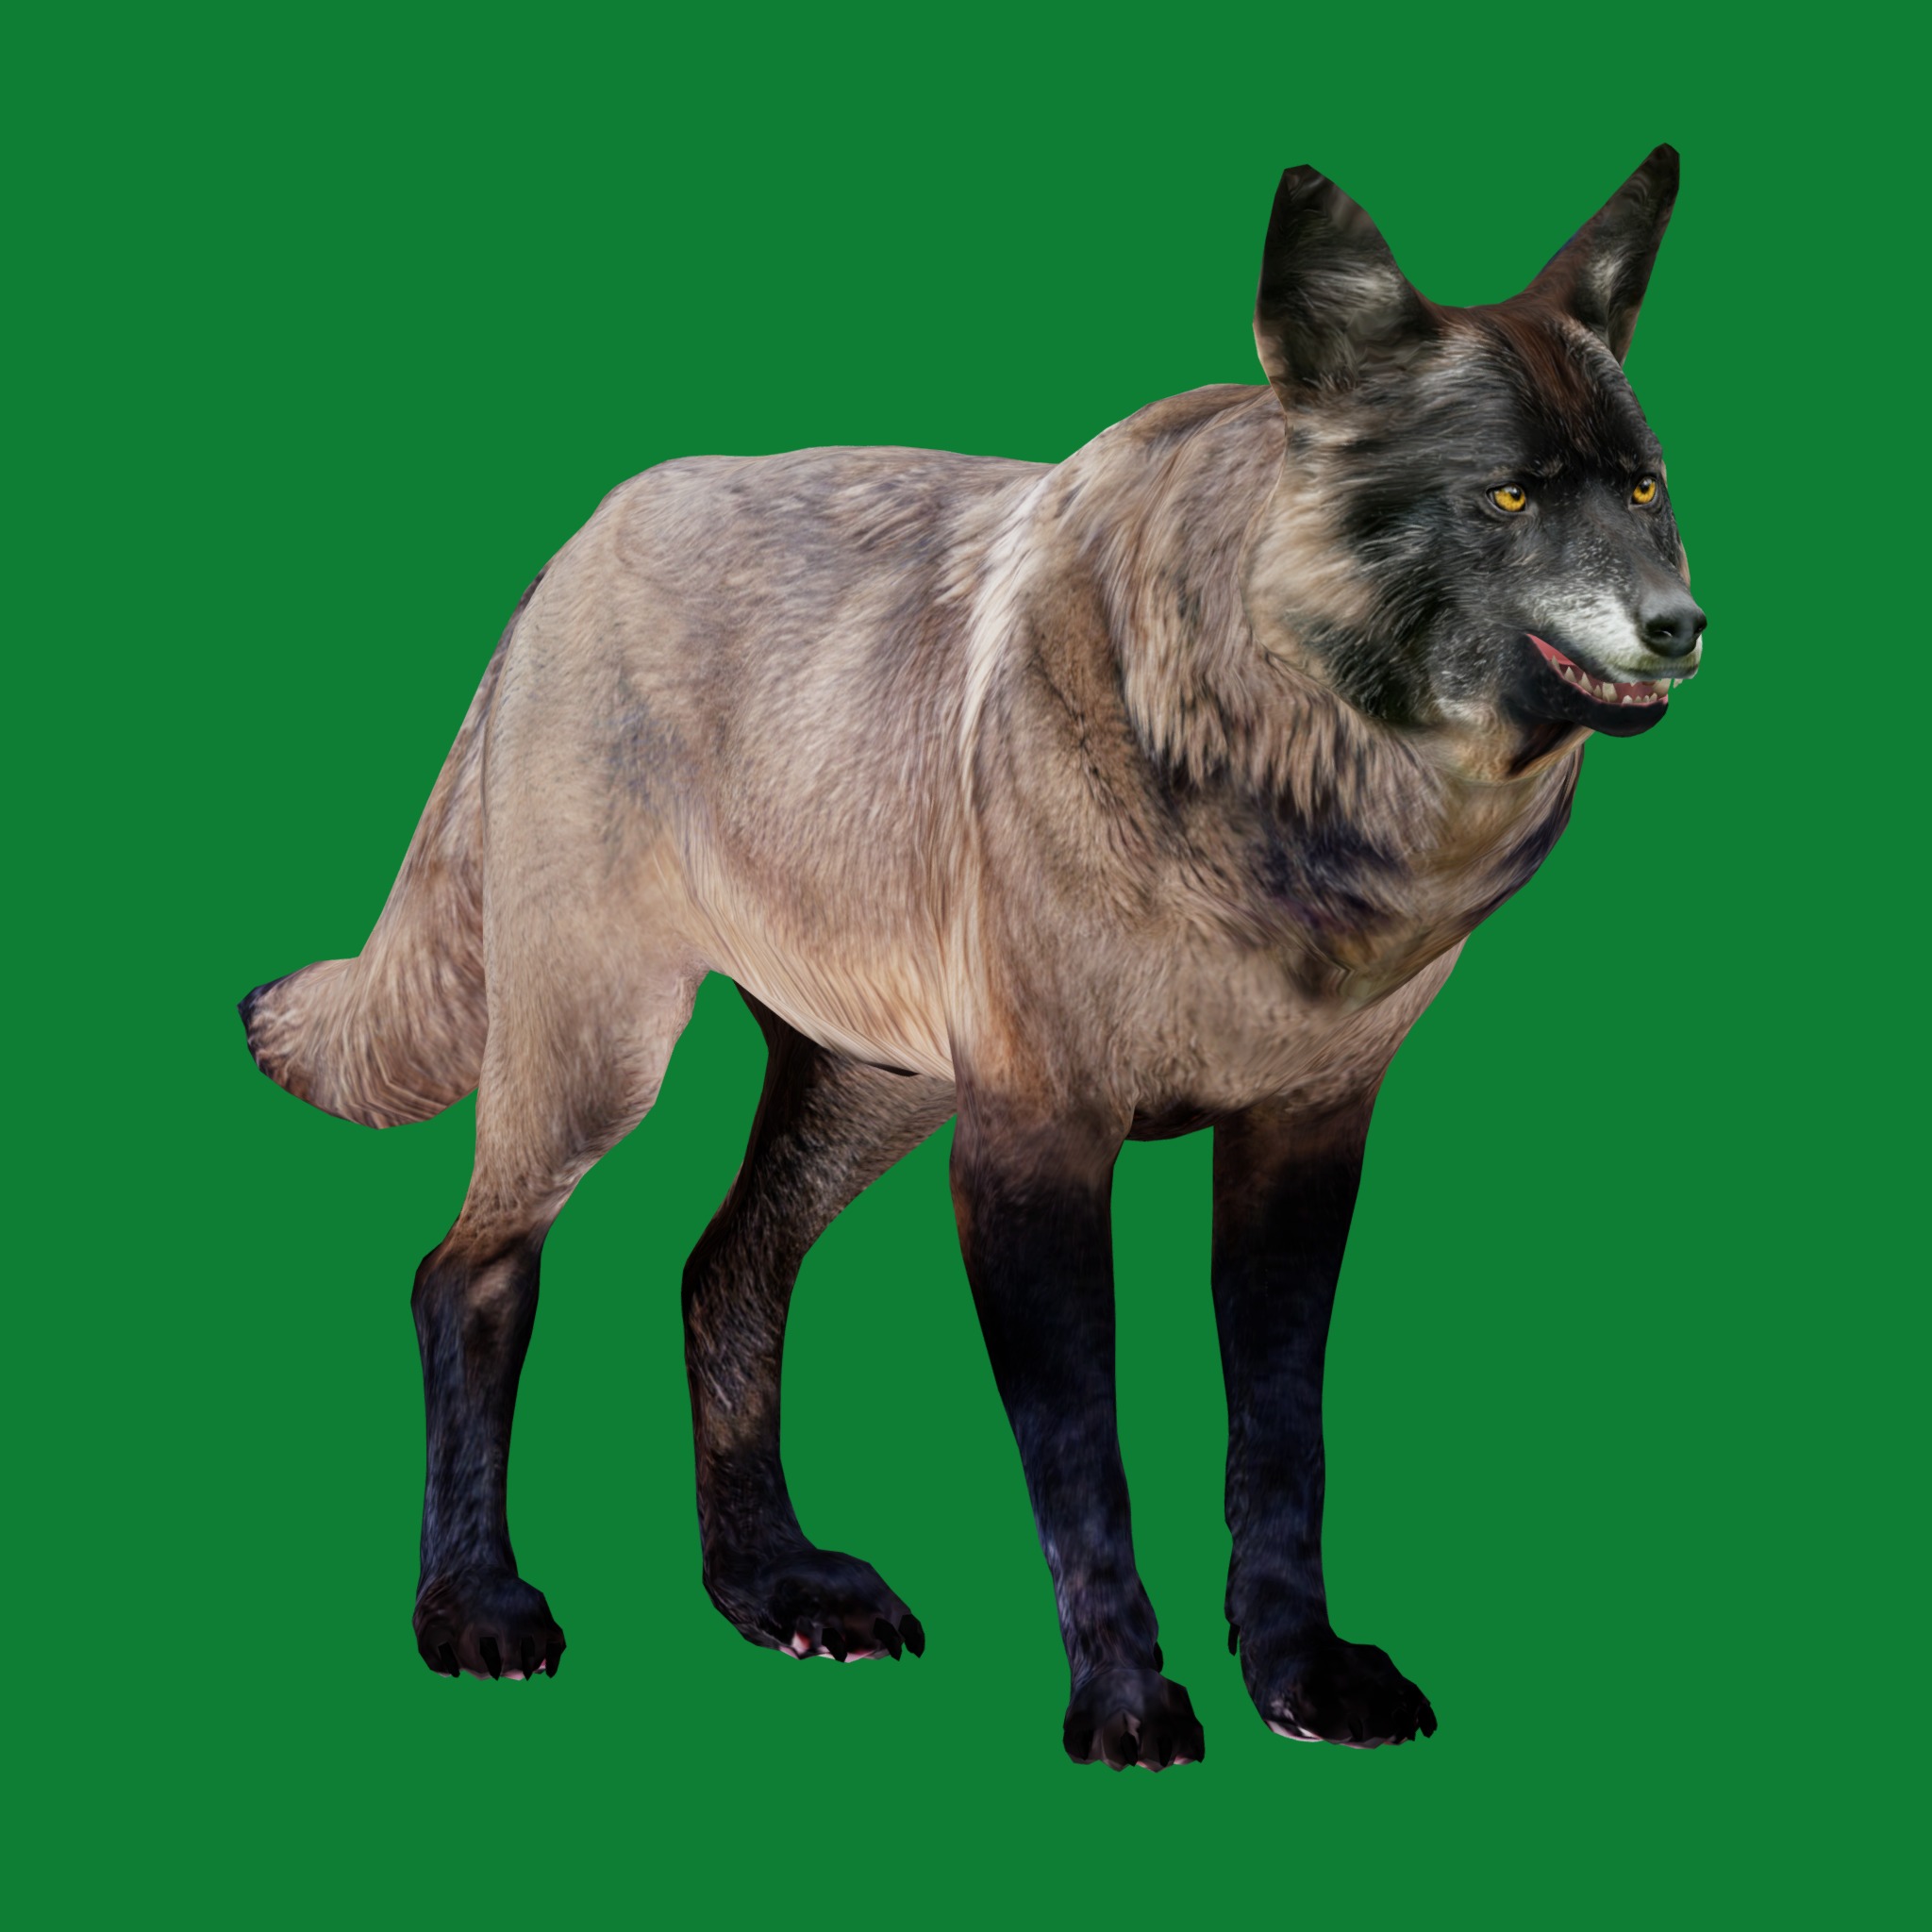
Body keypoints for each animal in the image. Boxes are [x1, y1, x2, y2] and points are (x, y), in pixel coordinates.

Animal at [240, 147, 1701, 1769]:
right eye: (1505, 495)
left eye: (1644, 489)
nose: (1683, 626)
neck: (1292, 809)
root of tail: (571, 550)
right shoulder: (1032, 1146)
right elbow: (1085, 1460)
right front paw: (1125, 1704)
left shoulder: (1301, 1143)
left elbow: (1283, 1440)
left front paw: (1299, 1676)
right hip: (602, 1060)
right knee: (468, 1274)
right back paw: (475, 1607)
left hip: (870, 1090)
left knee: (720, 1272)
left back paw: (772, 1588)